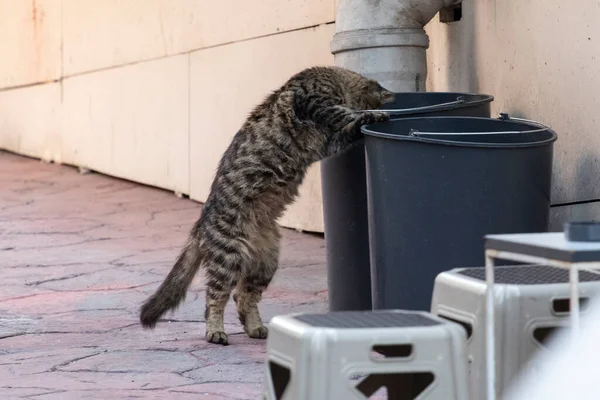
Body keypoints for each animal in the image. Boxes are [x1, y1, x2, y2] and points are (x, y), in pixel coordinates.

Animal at [139, 65, 396, 344]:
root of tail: (200, 223)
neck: (336, 80)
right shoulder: (318, 103)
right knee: (214, 298)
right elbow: (348, 114)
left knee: (243, 296)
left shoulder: (329, 143)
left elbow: (347, 128)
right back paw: (216, 331)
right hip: (227, 257)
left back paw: (255, 328)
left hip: (265, 262)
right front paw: (373, 115)